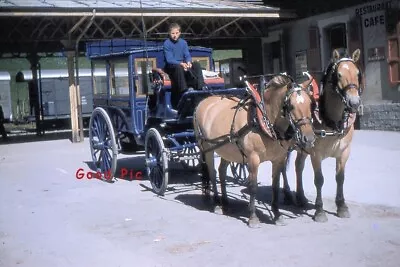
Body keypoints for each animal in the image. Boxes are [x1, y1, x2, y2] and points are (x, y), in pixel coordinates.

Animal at [192, 73, 318, 228]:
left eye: (311, 104)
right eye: (291, 106)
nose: (309, 138)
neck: (262, 119)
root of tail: (203, 102)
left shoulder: (278, 159)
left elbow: (275, 185)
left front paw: (277, 214)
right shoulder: (253, 159)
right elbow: (252, 187)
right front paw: (253, 217)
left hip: (226, 149)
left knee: (221, 171)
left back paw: (225, 202)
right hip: (206, 147)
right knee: (212, 172)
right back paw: (216, 202)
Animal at [284, 48, 366, 224]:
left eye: (357, 73)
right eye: (339, 75)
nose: (354, 102)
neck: (331, 121)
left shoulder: (344, 152)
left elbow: (340, 177)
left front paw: (342, 206)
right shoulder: (316, 154)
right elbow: (319, 180)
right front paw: (319, 211)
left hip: (303, 147)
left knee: (298, 166)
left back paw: (300, 197)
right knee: (280, 168)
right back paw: (287, 194)